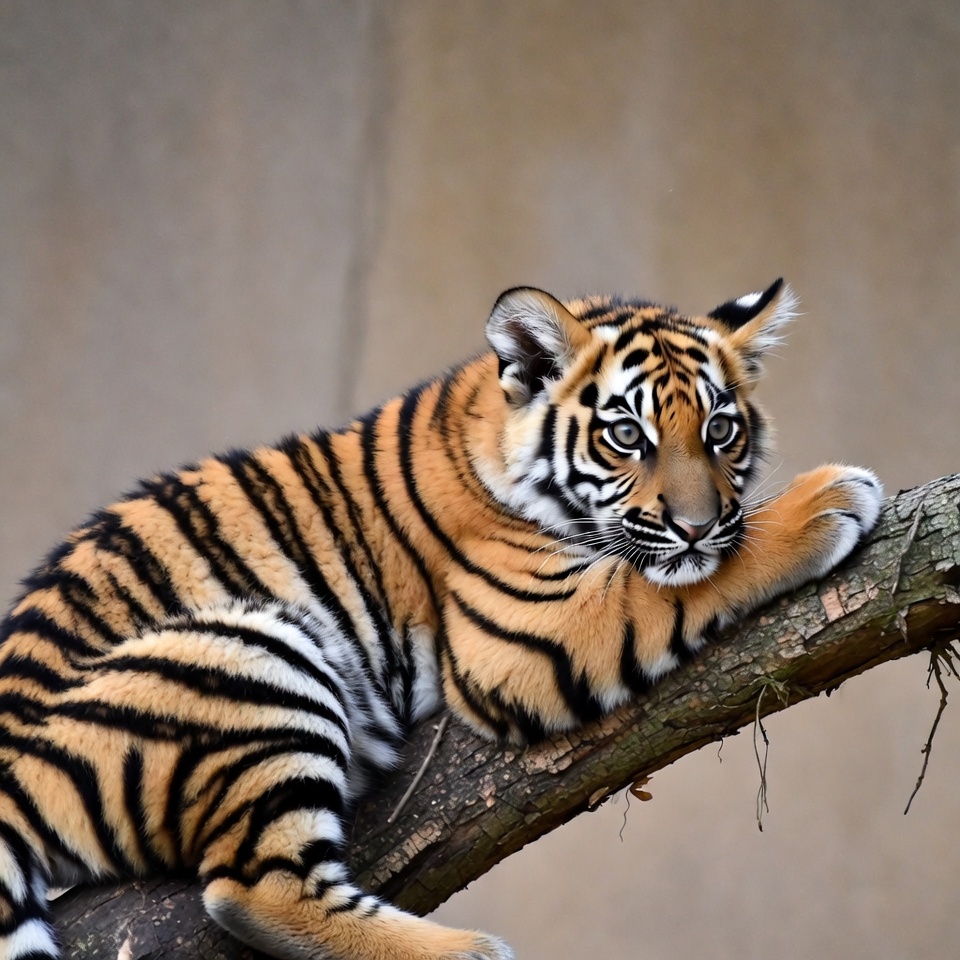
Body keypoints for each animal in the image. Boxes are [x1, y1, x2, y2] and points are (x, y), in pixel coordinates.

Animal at [0, 278, 882, 960]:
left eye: (720, 430)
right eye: (626, 435)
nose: (698, 525)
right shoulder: (530, 628)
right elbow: (686, 579)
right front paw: (830, 498)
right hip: (252, 653)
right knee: (250, 888)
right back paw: (472, 951)